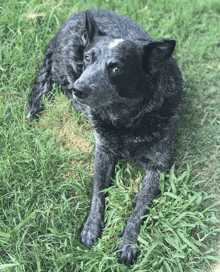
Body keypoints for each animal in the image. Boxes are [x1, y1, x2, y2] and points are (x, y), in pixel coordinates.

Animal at [27, 9, 186, 266]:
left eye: (116, 69)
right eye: (88, 58)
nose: (80, 89)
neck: (126, 121)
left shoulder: (158, 167)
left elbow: (140, 207)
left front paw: (128, 243)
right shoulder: (103, 152)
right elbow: (98, 191)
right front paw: (92, 227)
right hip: (69, 66)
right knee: (60, 83)